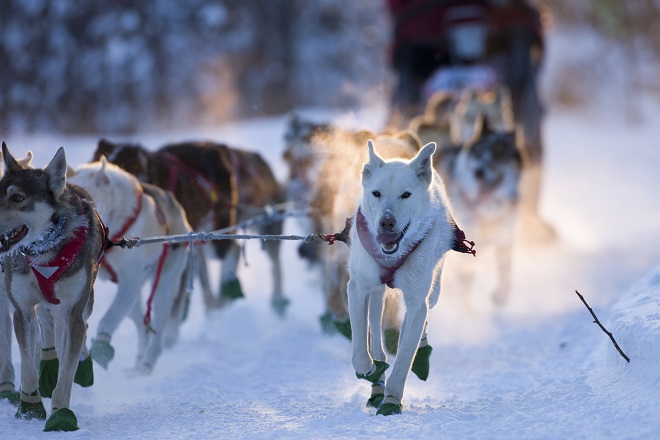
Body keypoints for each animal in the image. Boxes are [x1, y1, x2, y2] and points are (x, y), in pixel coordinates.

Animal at [346, 139, 474, 414]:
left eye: (405, 194)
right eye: (376, 193)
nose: (386, 222)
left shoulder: (416, 300)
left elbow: (405, 355)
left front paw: (392, 401)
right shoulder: (358, 287)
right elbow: (360, 351)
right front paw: (370, 371)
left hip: (432, 292)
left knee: (417, 322)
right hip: (376, 291)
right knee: (376, 331)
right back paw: (377, 380)